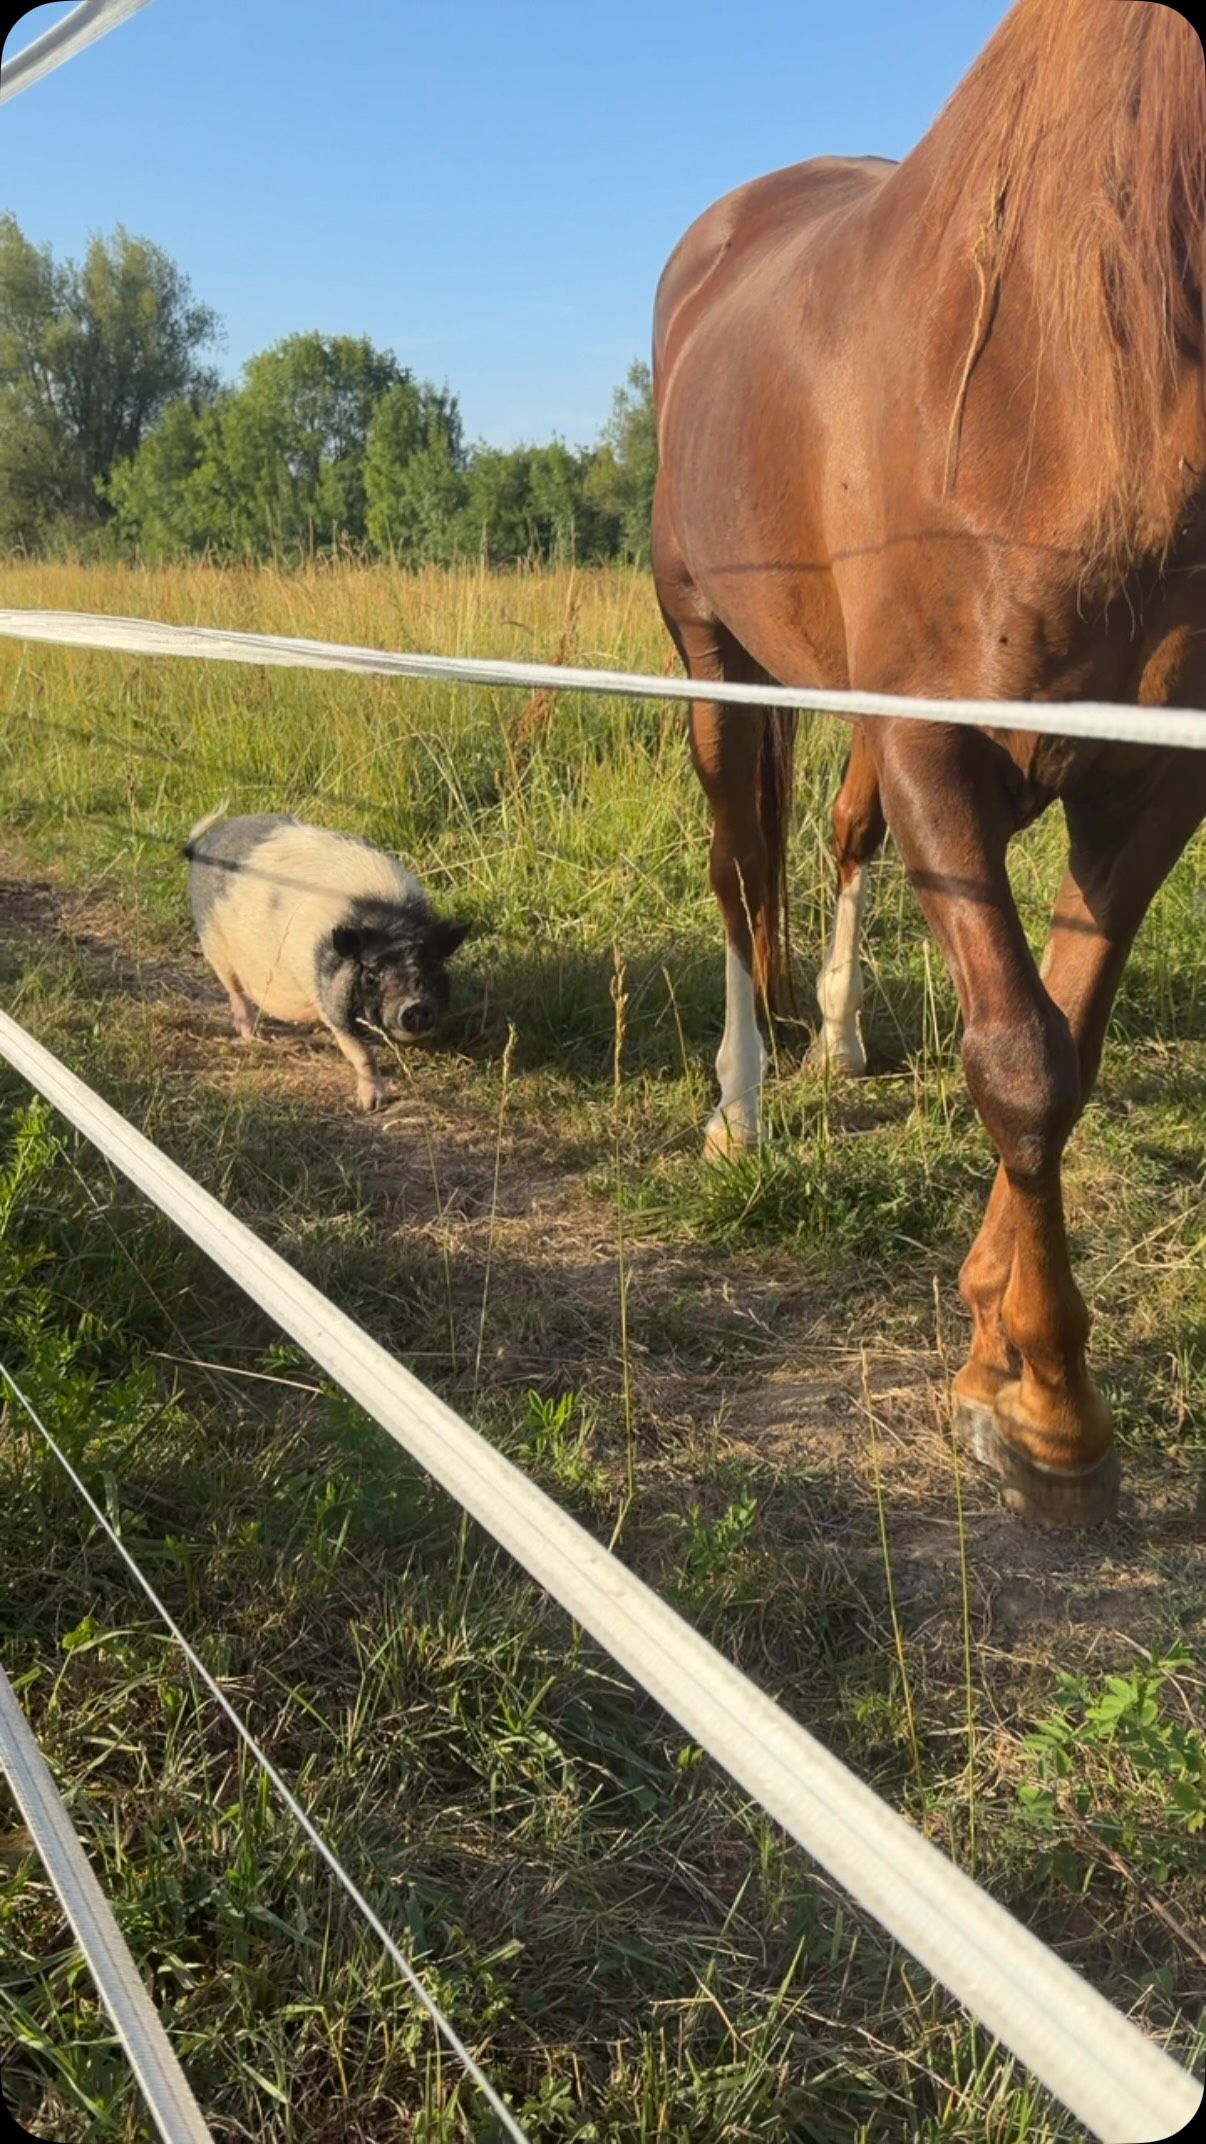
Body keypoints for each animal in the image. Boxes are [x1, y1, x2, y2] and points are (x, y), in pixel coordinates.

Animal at [652, 0, 1206, 1527]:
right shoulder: (929, 742)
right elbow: (1018, 1056)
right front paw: (1049, 1408)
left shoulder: (1150, 785)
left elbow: (1063, 1042)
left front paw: (1001, 1345)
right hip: (709, 648)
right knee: (737, 868)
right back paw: (741, 1105)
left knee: (835, 846)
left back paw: (837, 1034)